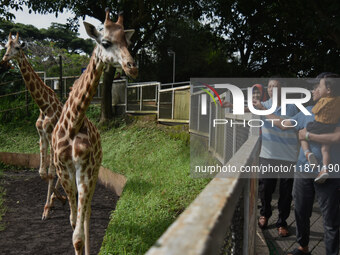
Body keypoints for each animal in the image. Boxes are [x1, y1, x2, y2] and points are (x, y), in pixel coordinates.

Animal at [1, 31, 66, 219]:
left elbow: (51, 172)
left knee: (61, 168)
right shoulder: (41, 135)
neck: (43, 105)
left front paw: (48, 207)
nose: (4, 58)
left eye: (17, 47)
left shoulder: (50, 135)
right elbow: (42, 173)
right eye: (5, 46)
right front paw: (56, 200)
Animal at [52, 8, 137, 254]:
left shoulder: (86, 168)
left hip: (95, 169)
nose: (132, 67)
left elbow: (79, 234)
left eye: (128, 42)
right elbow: (73, 224)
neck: (73, 123)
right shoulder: (63, 169)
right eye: (106, 42)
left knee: (88, 211)